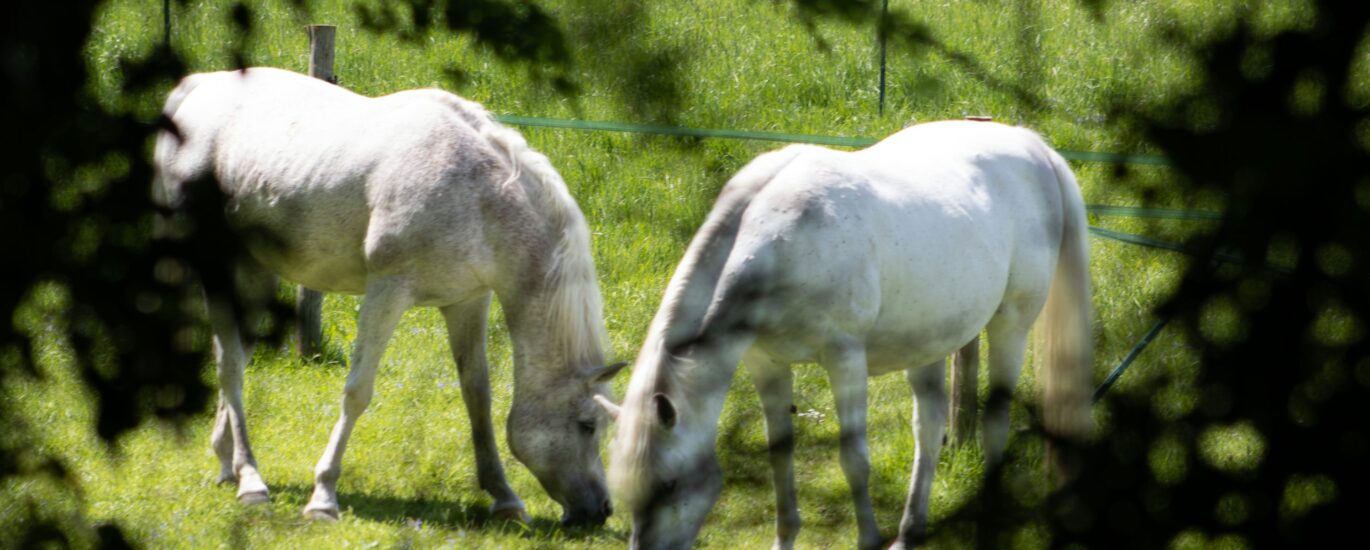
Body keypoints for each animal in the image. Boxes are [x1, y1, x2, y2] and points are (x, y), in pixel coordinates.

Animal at [153, 67, 628, 525]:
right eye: (587, 425)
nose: (600, 511)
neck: (478, 196)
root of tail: (197, 88)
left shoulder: (467, 301)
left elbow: (477, 395)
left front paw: (505, 498)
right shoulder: (387, 291)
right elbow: (357, 392)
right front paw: (323, 498)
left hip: (254, 273)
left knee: (231, 354)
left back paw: (227, 464)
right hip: (214, 266)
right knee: (231, 366)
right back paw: (251, 481)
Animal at [599, 120, 1094, 549]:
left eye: (669, 484)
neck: (782, 242)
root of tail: (1034, 147)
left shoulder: (845, 360)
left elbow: (854, 459)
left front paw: (868, 539)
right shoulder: (766, 364)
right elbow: (780, 455)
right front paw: (784, 538)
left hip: (1011, 325)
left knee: (995, 423)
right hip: (931, 341)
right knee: (929, 427)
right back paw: (909, 532)